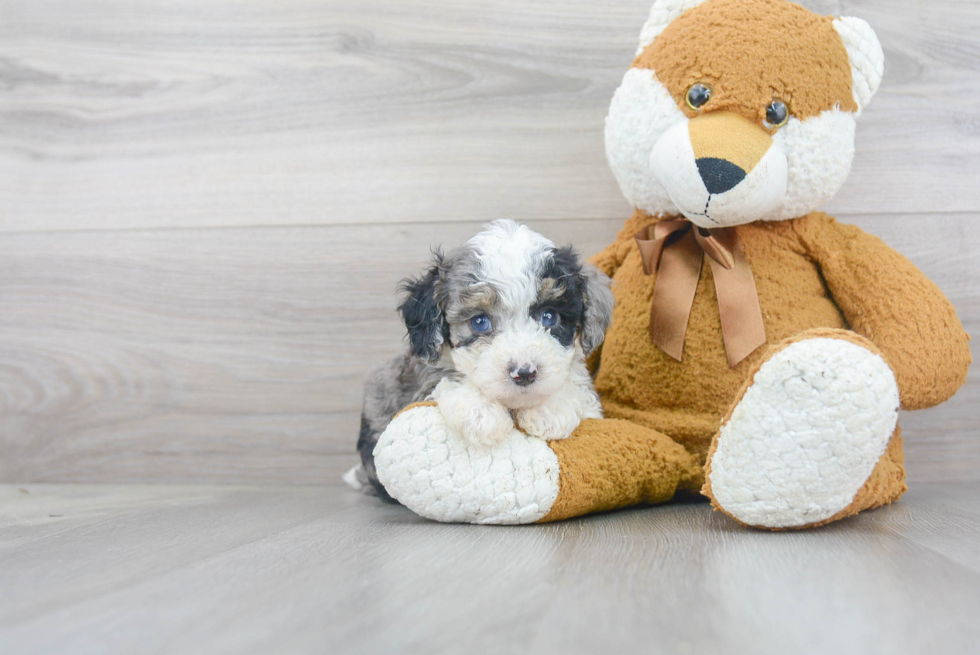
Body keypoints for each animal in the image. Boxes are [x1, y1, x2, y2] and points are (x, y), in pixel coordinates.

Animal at [346, 220, 612, 502]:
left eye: (549, 316)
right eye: (480, 322)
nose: (524, 373)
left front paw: (550, 407)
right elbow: (445, 378)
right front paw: (481, 411)